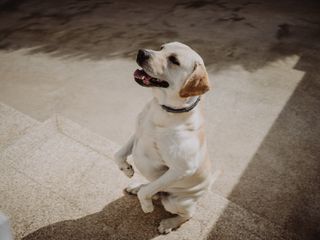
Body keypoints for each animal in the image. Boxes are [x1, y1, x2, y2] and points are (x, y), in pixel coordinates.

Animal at [114, 41, 212, 234]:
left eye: (174, 60)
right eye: (161, 48)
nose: (141, 52)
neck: (164, 110)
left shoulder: (181, 169)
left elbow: (148, 192)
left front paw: (146, 206)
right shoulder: (138, 132)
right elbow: (118, 154)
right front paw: (127, 169)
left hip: (176, 201)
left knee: (187, 214)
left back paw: (169, 223)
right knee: (152, 188)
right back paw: (136, 187)